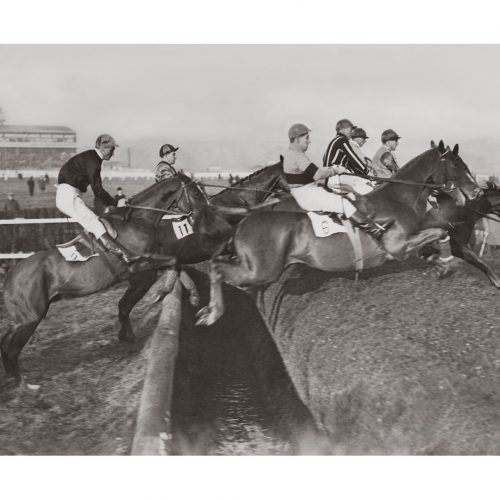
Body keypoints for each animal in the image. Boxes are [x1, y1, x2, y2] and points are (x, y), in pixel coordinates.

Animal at [0, 173, 208, 386]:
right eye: (195, 193)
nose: (206, 214)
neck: (138, 220)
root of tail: (10, 277)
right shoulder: (140, 268)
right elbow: (172, 263)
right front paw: (161, 292)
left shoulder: (151, 262)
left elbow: (176, 264)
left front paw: (193, 296)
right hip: (31, 318)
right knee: (11, 348)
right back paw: (24, 383)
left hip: (21, 318)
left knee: (4, 341)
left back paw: (12, 377)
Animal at [193, 143, 482, 326]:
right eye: (457, 164)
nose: (477, 191)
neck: (398, 198)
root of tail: (245, 220)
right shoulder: (397, 246)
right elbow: (438, 230)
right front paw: (445, 264)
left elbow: (437, 233)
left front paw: (439, 262)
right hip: (262, 270)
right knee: (217, 269)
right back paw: (212, 312)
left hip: (257, 268)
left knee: (224, 270)